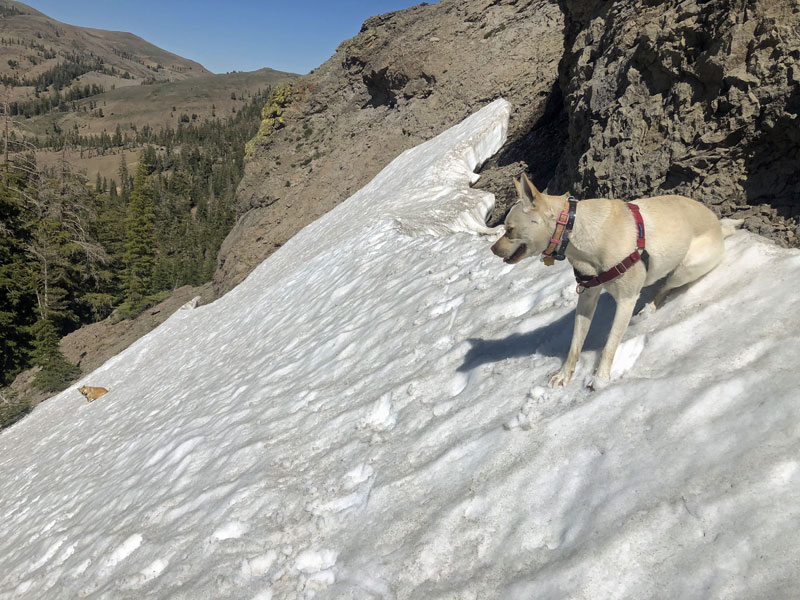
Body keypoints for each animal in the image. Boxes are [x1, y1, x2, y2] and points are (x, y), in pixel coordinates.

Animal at [494, 173, 744, 390]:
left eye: (509, 230)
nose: (493, 249)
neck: (576, 233)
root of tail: (720, 227)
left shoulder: (626, 300)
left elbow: (610, 345)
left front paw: (601, 379)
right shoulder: (587, 296)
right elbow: (575, 343)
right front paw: (564, 374)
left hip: (687, 267)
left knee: (666, 286)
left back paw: (650, 308)